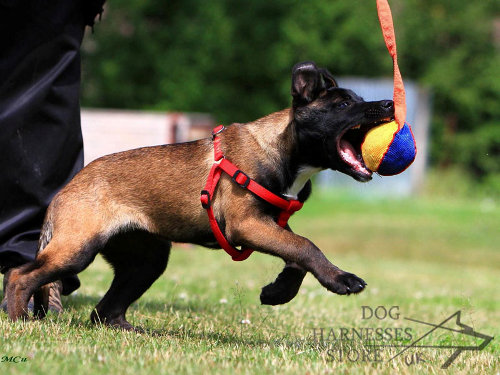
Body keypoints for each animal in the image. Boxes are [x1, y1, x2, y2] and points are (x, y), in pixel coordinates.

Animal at [4, 61, 394, 332]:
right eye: (343, 105)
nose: (390, 103)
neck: (282, 147)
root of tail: (66, 190)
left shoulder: (269, 225)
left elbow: (296, 253)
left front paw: (277, 292)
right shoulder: (246, 224)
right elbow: (305, 246)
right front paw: (341, 279)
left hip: (146, 259)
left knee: (103, 312)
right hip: (77, 248)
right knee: (20, 276)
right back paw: (20, 320)